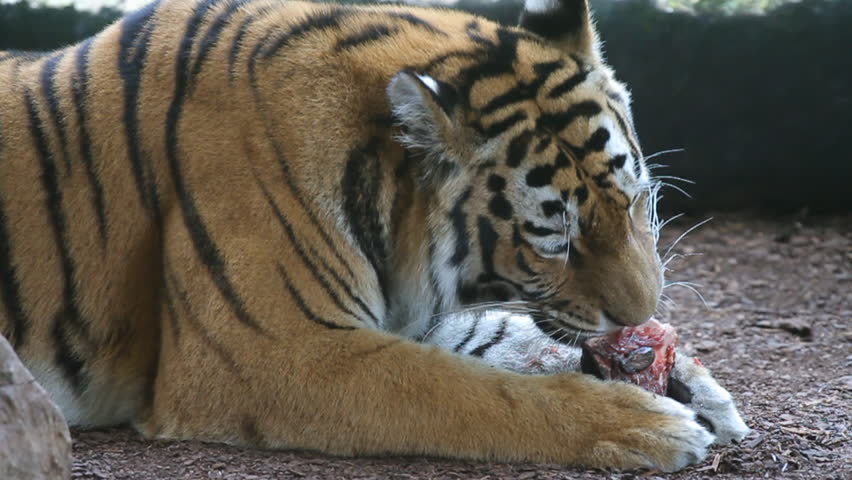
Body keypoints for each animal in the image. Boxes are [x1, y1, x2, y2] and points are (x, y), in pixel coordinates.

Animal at [0, 0, 749, 472]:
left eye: (639, 203)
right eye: (554, 239)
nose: (642, 315)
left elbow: (506, 338)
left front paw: (696, 389)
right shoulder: (270, 353)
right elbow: (467, 390)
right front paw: (643, 422)